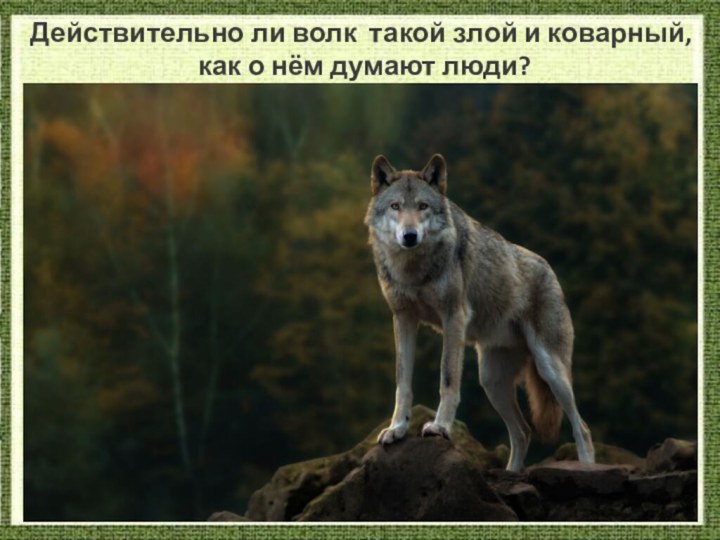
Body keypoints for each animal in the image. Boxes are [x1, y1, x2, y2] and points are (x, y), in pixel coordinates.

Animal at [364, 154, 595, 472]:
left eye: (422, 206)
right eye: (396, 206)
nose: (409, 236)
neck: (413, 269)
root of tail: (550, 271)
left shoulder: (454, 318)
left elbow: (447, 379)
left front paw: (440, 427)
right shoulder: (403, 319)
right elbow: (403, 383)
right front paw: (397, 429)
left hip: (551, 370)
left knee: (581, 427)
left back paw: (588, 467)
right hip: (491, 381)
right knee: (523, 432)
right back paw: (511, 472)